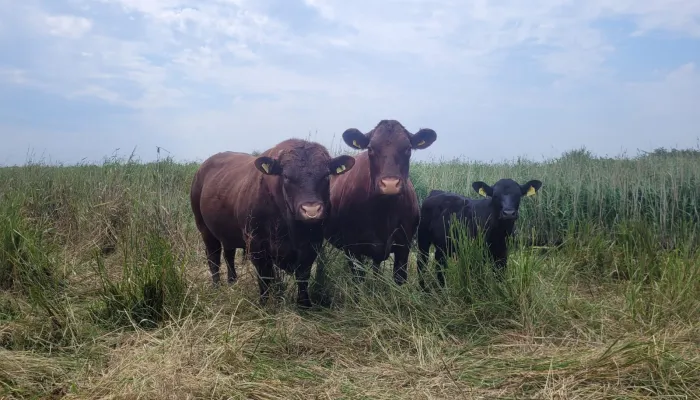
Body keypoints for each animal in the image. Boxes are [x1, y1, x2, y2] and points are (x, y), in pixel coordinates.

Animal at [190, 139, 356, 308]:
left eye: (326, 175)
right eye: (287, 176)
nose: (311, 210)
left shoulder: (312, 244)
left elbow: (303, 277)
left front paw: (304, 305)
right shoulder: (256, 244)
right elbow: (264, 277)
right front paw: (263, 303)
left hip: (228, 232)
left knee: (229, 254)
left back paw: (232, 281)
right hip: (204, 228)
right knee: (213, 256)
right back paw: (216, 286)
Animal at [324, 119, 437, 284]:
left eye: (408, 148)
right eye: (370, 148)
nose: (390, 184)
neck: (384, 213)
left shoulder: (404, 246)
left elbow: (399, 278)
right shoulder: (352, 247)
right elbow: (358, 280)